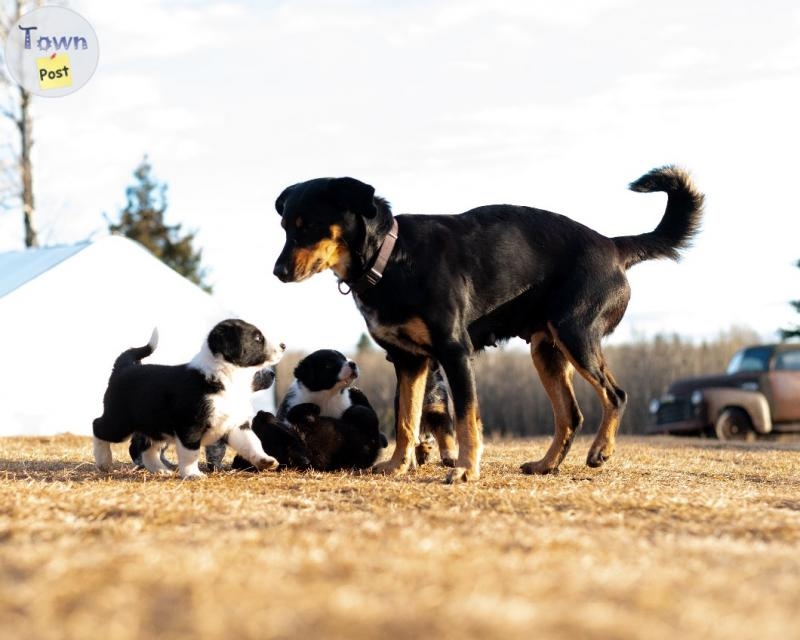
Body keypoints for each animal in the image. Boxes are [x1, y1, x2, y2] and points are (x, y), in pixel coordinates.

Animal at [92, 318, 286, 478]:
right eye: (257, 338)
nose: (284, 345)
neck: (229, 376)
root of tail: (124, 368)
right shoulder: (191, 425)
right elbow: (191, 453)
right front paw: (193, 474)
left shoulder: (236, 424)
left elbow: (252, 442)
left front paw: (265, 460)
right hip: (120, 422)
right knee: (97, 426)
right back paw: (104, 462)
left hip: (154, 425)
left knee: (148, 449)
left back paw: (160, 469)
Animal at [272, 168, 704, 482]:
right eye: (286, 226)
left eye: (308, 225)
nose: (277, 272)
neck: (391, 256)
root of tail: (613, 245)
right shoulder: (409, 361)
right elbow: (406, 419)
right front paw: (397, 465)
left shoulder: (455, 353)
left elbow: (466, 419)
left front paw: (465, 469)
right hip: (546, 351)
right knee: (570, 415)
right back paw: (546, 465)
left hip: (577, 335)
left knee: (615, 394)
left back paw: (601, 451)